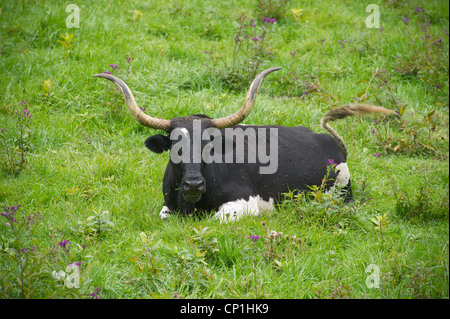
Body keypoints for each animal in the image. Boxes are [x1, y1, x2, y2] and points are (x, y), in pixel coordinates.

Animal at [94, 67, 394, 222]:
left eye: (210, 144)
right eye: (175, 146)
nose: (194, 184)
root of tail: (328, 141)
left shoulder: (244, 203)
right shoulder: (167, 208)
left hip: (341, 191)